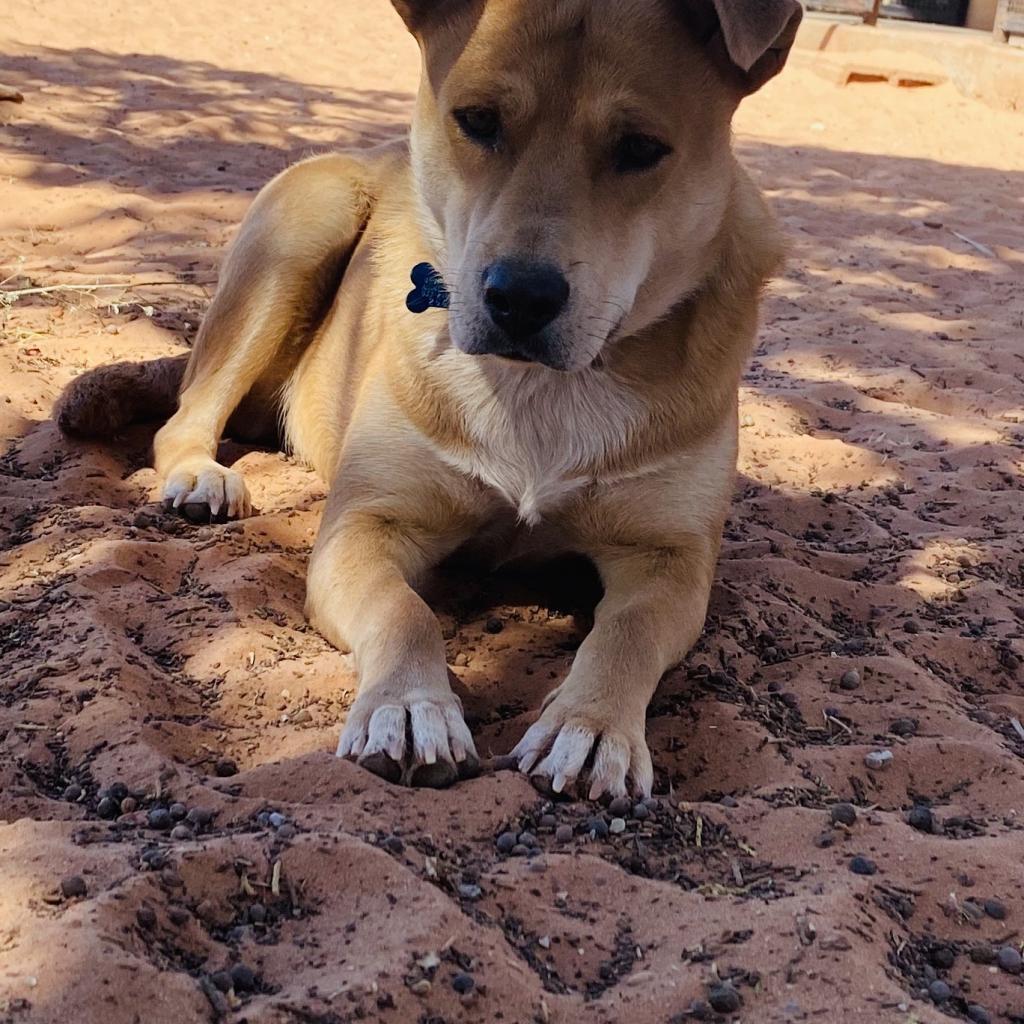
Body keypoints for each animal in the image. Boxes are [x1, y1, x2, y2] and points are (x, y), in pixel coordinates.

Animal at [58, 0, 798, 798]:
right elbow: (405, 612)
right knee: (186, 413)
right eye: (477, 120)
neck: (535, 388)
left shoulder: (669, 560)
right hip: (307, 220)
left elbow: (626, 634)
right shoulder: (365, 526)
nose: (518, 298)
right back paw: (200, 472)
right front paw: (409, 706)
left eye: (640, 147)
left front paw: (591, 727)